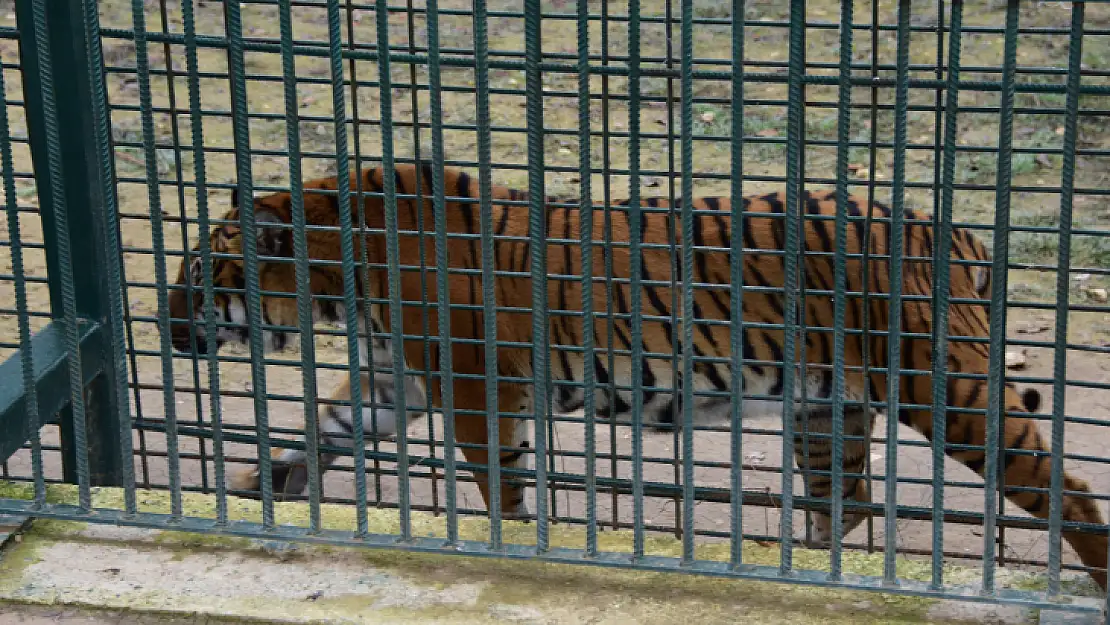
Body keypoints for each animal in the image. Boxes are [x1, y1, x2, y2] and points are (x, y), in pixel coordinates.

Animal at [166, 163, 1110, 590]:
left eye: (201, 278)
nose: (165, 329)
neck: (342, 275)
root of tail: (954, 230)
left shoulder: (472, 386)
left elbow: (498, 479)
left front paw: (516, 543)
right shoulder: (394, 381)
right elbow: (320, 432)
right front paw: (254, 485)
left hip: (942, 387)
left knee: (1063, 483)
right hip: (825, 410)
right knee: (847, 504)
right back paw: (800, 561)